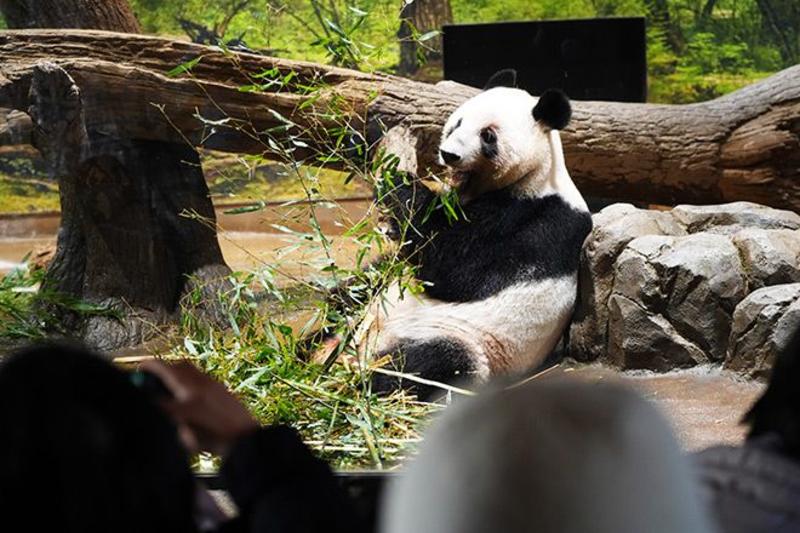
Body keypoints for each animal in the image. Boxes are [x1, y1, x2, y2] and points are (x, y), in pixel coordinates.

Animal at [355, 69, 593, 400]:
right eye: (457, 123)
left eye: (488, 135)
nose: (449, 154)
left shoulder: (536, 219)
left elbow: (450, 267)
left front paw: (396, 174)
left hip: (462, 339)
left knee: (433, 361)